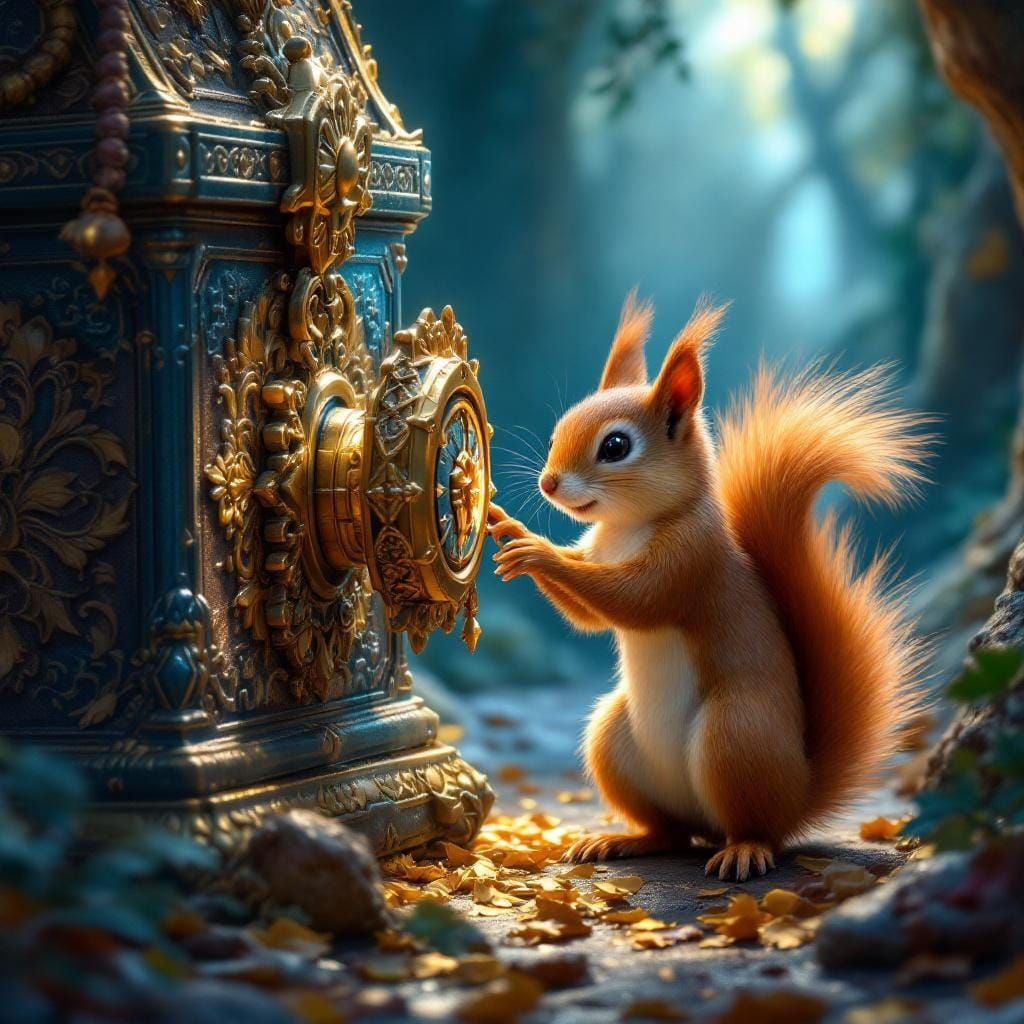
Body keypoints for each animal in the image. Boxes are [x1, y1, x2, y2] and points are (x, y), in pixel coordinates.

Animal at [488, 292, 931, 881]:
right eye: (558, 433)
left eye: (615, 446)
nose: (548, 483)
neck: (627, 527)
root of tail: (798, 793)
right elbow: (590, 617)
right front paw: (506, 528)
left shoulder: (690, 562)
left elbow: (632, 601)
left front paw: (537, 549)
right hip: (614, 740)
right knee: (672, 832)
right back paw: (625, 840)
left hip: (734, 734)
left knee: (755, 828)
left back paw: (744, 850)